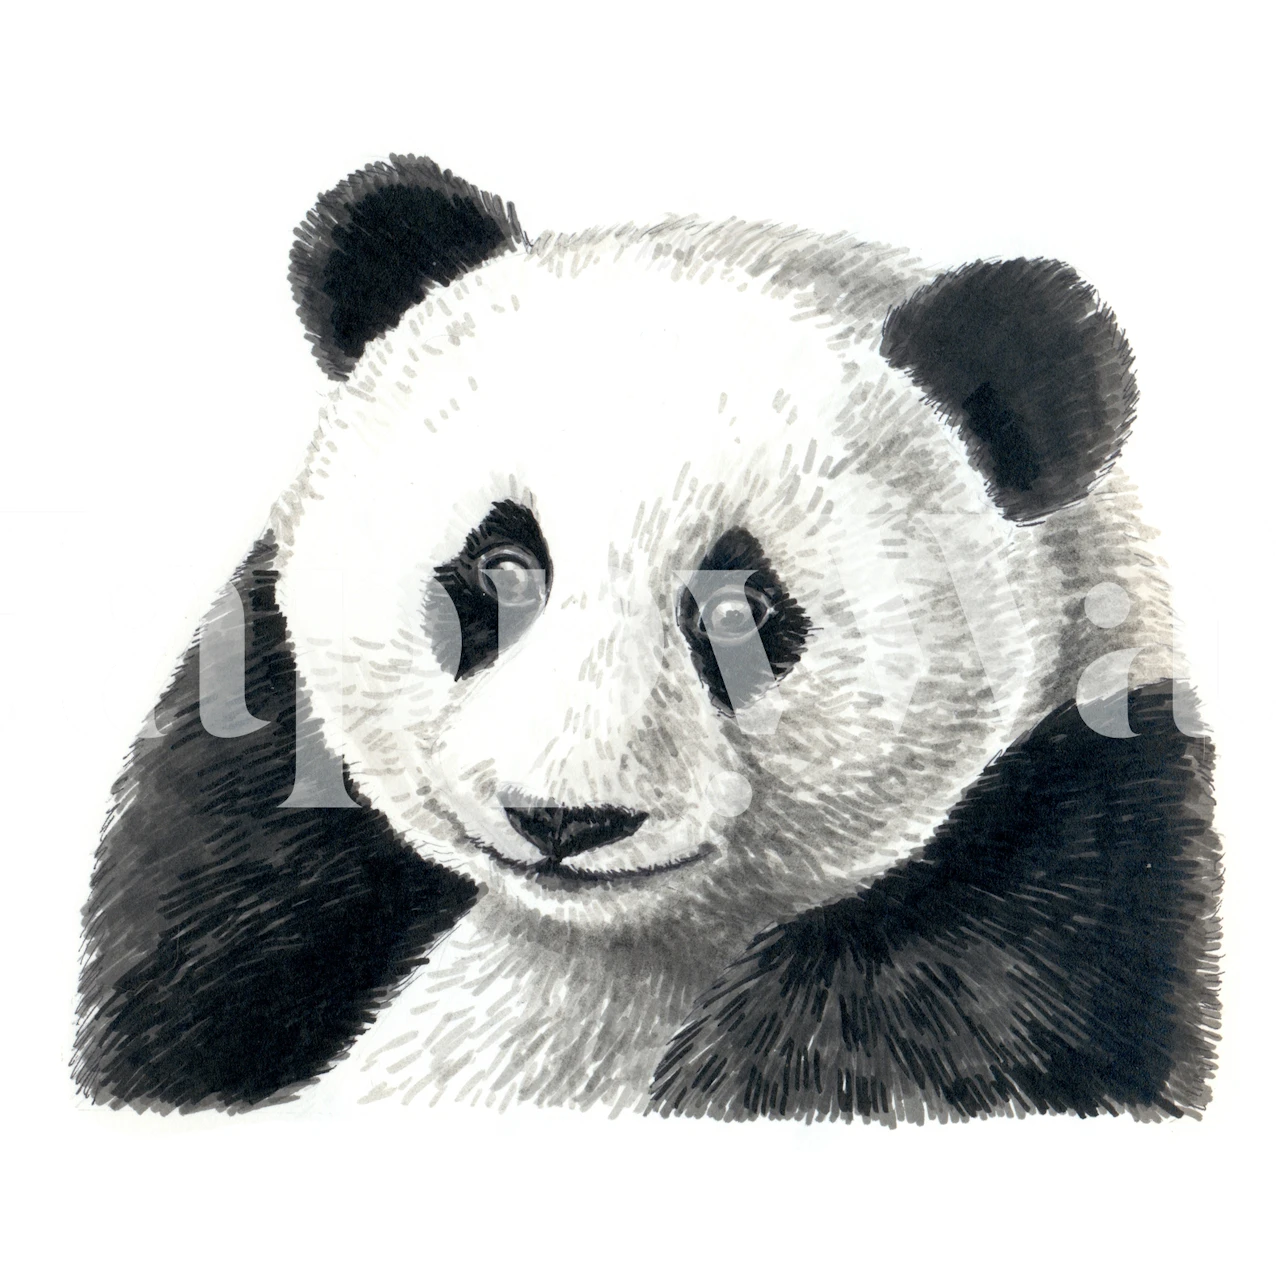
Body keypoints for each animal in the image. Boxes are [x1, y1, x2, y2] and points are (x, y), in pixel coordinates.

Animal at [75, 154, 1220, 1122]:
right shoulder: (246, 807)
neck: (595, 948)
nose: (563, 818)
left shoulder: (1062, 882)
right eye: (501, 566)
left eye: (740, 609)